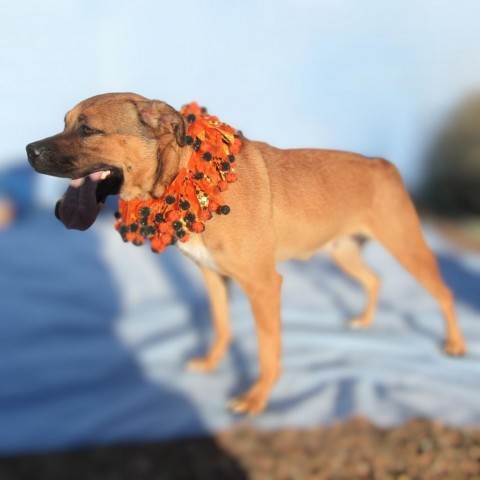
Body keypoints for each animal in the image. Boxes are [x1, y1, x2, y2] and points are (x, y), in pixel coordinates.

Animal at [25, 92, 464, 414]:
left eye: (87, 130)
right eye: (65, 123)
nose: (29, 150)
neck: (185, 174)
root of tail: (382, 164)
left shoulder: (264, 285)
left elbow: (269, 351)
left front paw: (256, 399)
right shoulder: (213, 276)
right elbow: (222, 325)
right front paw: (211, 364)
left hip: (407, 247)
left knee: (444, 292)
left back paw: (456, 346)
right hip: (343, 252)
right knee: (374, 279)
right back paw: (364, 321)